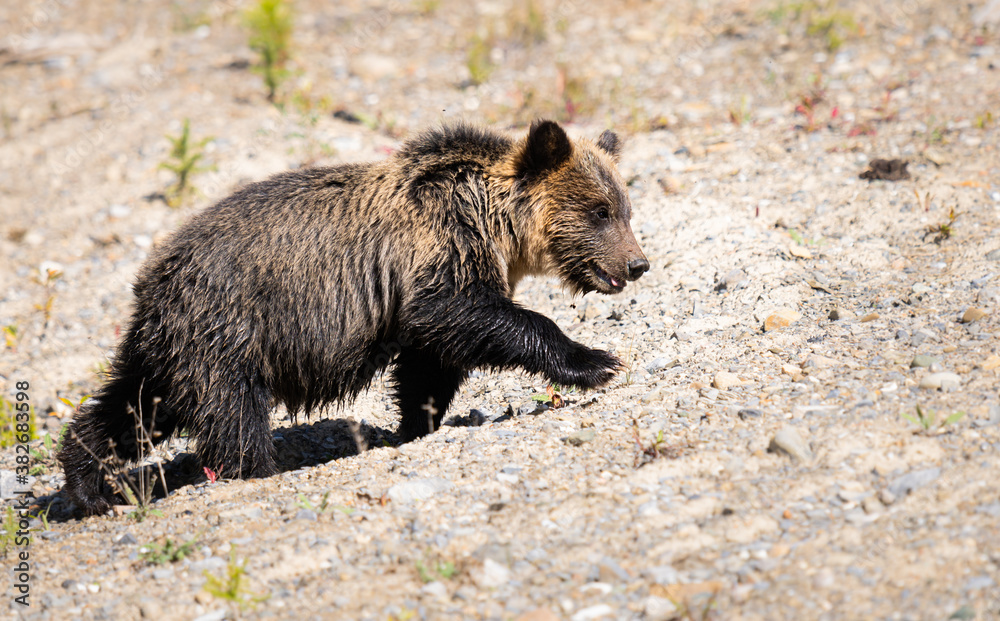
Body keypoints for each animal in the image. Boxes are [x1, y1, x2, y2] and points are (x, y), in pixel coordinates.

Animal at [57, 119, 650, 515]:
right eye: (599, 211)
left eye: (624, 208)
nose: (637, 263)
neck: (492, 219)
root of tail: (150, 281)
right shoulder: (439, 251)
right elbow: (472, 318)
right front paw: (597, 361)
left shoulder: (421, 292)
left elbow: (430, 363)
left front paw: (415, 425)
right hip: (228, 328)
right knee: (230, 411)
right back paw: (257, 468)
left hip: (171, 345)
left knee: (134, 404)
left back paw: (90, 484)